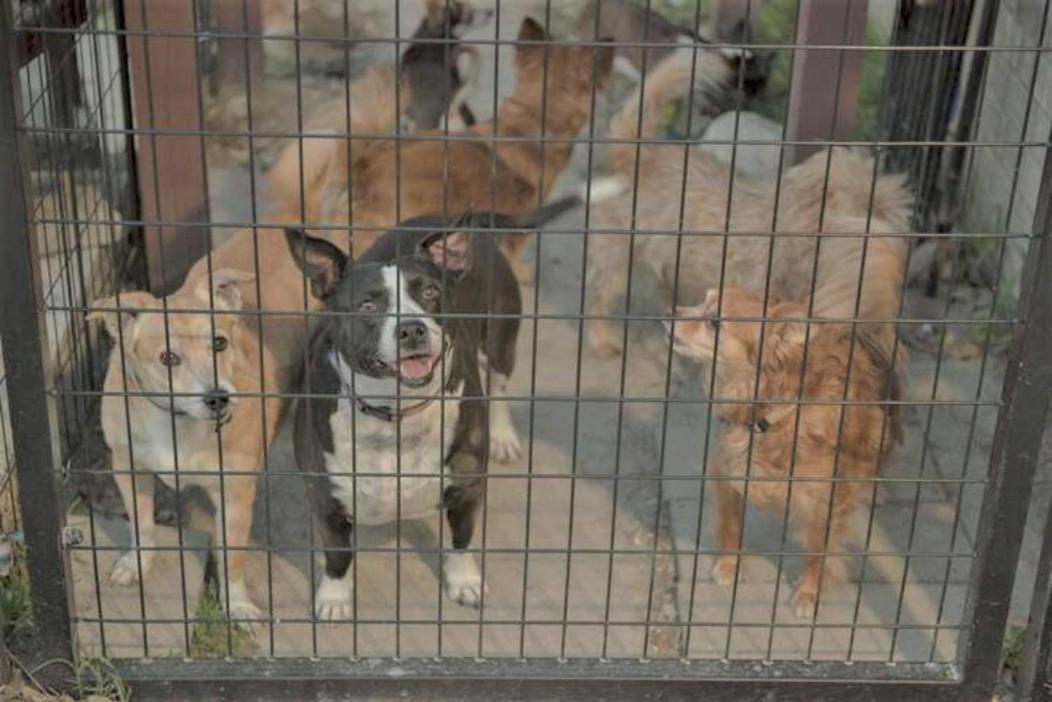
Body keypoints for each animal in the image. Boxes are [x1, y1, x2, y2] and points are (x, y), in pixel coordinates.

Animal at [92, 271, 279, 623]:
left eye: (219, 342)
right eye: (168, 358)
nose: (218, 397)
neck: (177, 423)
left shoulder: (235, 494)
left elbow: (232, 556)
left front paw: (237, 604)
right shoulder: (127, 467)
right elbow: (141, 523)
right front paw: (137, 564)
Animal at [286, 196, 576, 614]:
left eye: (429, 293)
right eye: (368, 306)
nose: (412, 329)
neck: (396, 412)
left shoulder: (467, 485)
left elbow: (461, 540)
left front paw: (464, 581)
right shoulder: (326, 498)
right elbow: (338, 555)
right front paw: (335, 596)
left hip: (502, 338)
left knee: (499, 386)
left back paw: (503, 435)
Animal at [673, 288, 904, 618]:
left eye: (714, 321)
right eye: (702, 300)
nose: (669, 311)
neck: (768, 416)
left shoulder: (824, 503)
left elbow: (817, 552)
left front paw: (809, 592)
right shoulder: (727, 471)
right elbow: (730, 524)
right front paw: (729, 565)